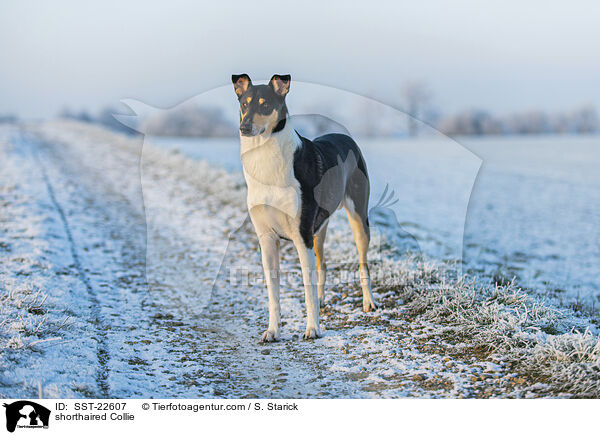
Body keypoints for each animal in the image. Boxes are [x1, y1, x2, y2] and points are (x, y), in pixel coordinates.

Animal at [231, 73, 376, 342]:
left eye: (265, 105)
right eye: (244, 104)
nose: (244, 128)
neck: (266, 163)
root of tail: (346, 136)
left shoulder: (301, 236)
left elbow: (306, 291)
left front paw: (312, 329)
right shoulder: (267, 239)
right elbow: (273, 294)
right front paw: (272, 330)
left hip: (357, 219)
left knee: (363, 265)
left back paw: (368, 302)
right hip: (319, 229)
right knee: (322, 264)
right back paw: (323, 300)